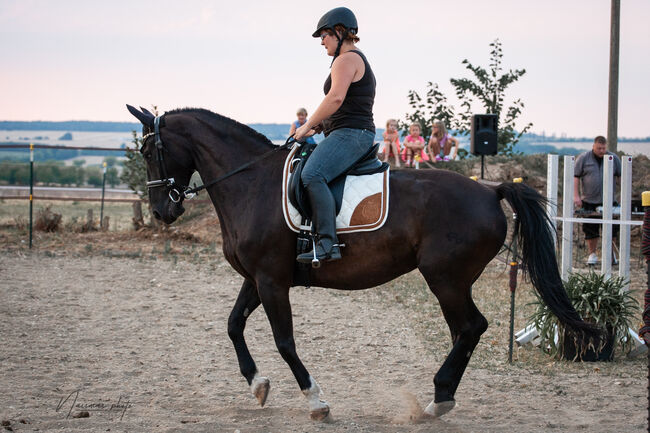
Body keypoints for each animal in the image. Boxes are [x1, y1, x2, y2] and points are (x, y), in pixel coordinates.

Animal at [125, 104, 592, 418]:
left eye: (149, 152)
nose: (162, 212)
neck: (250, 184)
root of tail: (490, 189)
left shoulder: (272, 281)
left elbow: (285, 341)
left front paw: (316, 401)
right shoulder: (258, 278)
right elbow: (233, 325)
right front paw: (257, 385)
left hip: (446, 278)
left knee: (471, 327)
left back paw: (438, 399)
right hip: (451, 280)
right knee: (466, 330)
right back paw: (440, 398)